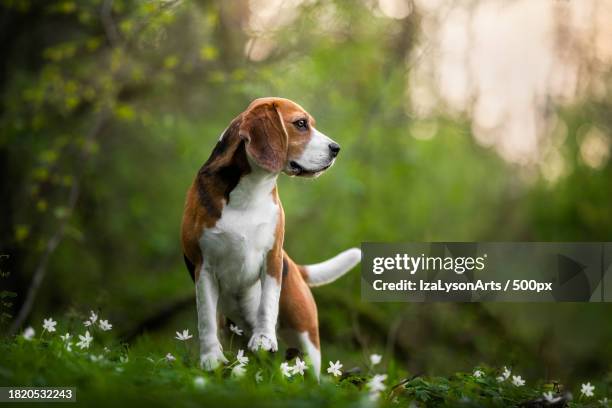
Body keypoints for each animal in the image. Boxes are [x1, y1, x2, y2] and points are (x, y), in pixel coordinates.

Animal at [182, 96, 364, 380]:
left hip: (307, 335)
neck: (251, 189)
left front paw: (264, 337)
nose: (336, 149)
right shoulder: (204, 267)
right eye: (300, 124)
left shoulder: (273, 258)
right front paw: (211, 359)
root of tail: (296, 268)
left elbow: (267, 302)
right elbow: (206, 318)